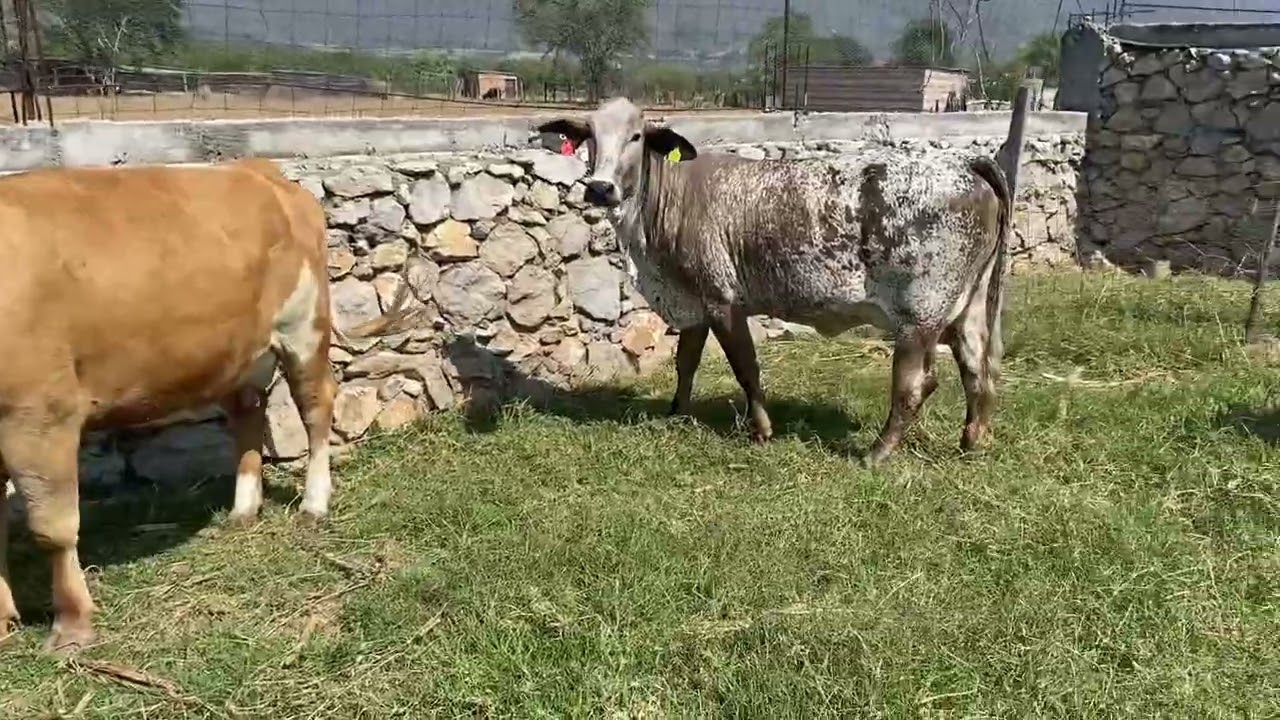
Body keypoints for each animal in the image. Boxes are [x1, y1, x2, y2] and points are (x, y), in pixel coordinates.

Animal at [0, 158, 412, 653]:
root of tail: (260, 170)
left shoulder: (40, 412)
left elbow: (53, 526)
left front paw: (72, 626)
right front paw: (3, 620)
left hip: (302, 326)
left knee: (315, 406)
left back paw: (314, 504)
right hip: (246, 350)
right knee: (249, 410)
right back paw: (243, 509)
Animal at [535, 88, 1029, 467]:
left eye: (636, 135)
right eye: (589, 135)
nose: (600, 188)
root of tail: (965, 165)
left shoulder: (722, 300)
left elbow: (746, 368)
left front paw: (761, 430)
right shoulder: (694, 301)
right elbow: (686, 362)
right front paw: (675, 413)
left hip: (919, 316)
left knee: (915, 385)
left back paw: (876, 454)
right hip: (967, 310)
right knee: (978, 372)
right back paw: (972, 441)